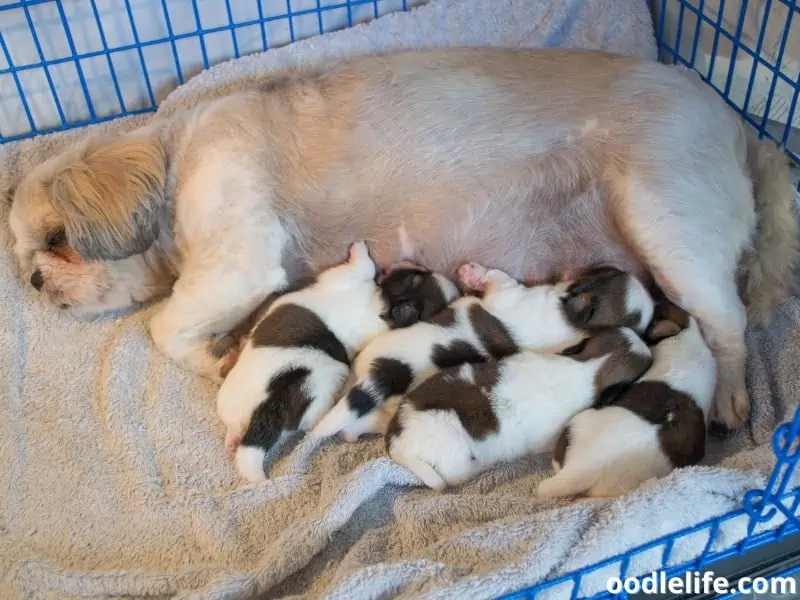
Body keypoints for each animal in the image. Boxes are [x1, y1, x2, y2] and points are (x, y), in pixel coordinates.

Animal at [310, 262, 652, 440]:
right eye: (610, 270)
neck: (574, 324)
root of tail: (389, 370)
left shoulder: (508, 294)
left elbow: (497, 278)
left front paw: (472, 273)